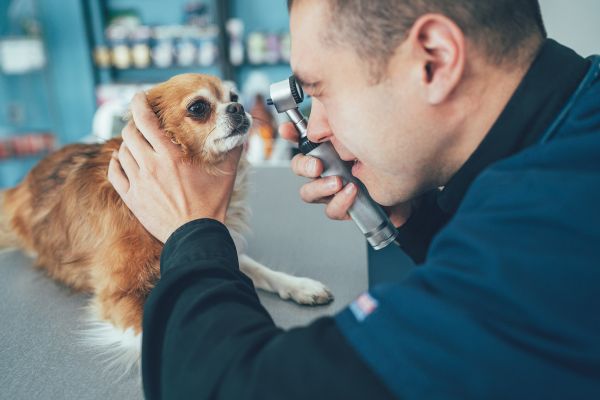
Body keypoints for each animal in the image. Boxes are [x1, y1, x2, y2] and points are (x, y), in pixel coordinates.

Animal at [0, 73, 332, 374]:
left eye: (234, 97)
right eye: (199, 107)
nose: (237, 108)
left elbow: (259, 269)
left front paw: (298, 285)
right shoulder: (119, 293)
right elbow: (145, 331)